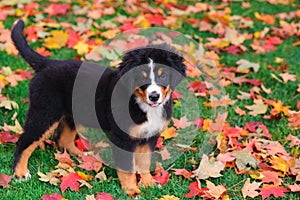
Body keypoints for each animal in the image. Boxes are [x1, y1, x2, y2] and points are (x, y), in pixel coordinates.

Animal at [10, 19, 185, 197]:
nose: (154, 96)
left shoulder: (150, 136)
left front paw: (149, 184)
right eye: (141, 78)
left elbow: (144, 162)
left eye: (163, 75)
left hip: (73, 112)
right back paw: (20, 173)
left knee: (62, 138)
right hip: (44, 112)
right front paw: (132, 190)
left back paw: (81, 156)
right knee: (25, 141)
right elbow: (127, 167)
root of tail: (49, 63)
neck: (143, 105)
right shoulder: (123, 137)